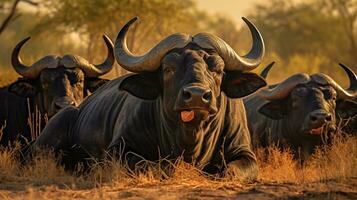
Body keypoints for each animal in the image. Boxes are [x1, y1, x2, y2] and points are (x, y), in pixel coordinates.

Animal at [32, 17, 268, 180]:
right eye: (168, 68)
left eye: (218, 69)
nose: (197, 96)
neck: (190, 135)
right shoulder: (120, 150)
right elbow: (154, 165)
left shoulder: (244, 151)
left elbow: (232, 171)